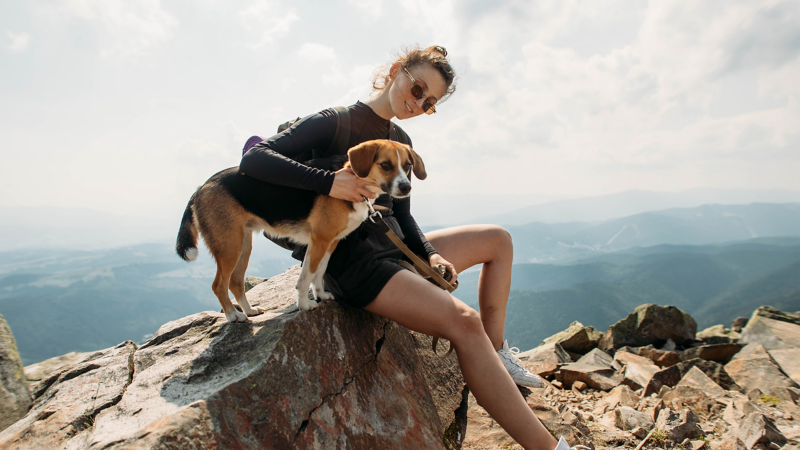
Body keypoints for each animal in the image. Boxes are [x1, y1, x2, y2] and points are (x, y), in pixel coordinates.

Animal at [175, 139, 424, 322]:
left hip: (243, 244)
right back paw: (233, 315)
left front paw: (321, 295)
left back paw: (250, 311)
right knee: (218, 285)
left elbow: (319, 272)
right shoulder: (319, 240)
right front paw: (304, 305)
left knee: (235, 282)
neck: (353, 178)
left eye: (407, 166)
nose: (406, 188)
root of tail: (202, 187)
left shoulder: (330, 242)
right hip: (229, 246)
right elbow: (305, 277)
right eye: (385, 165)